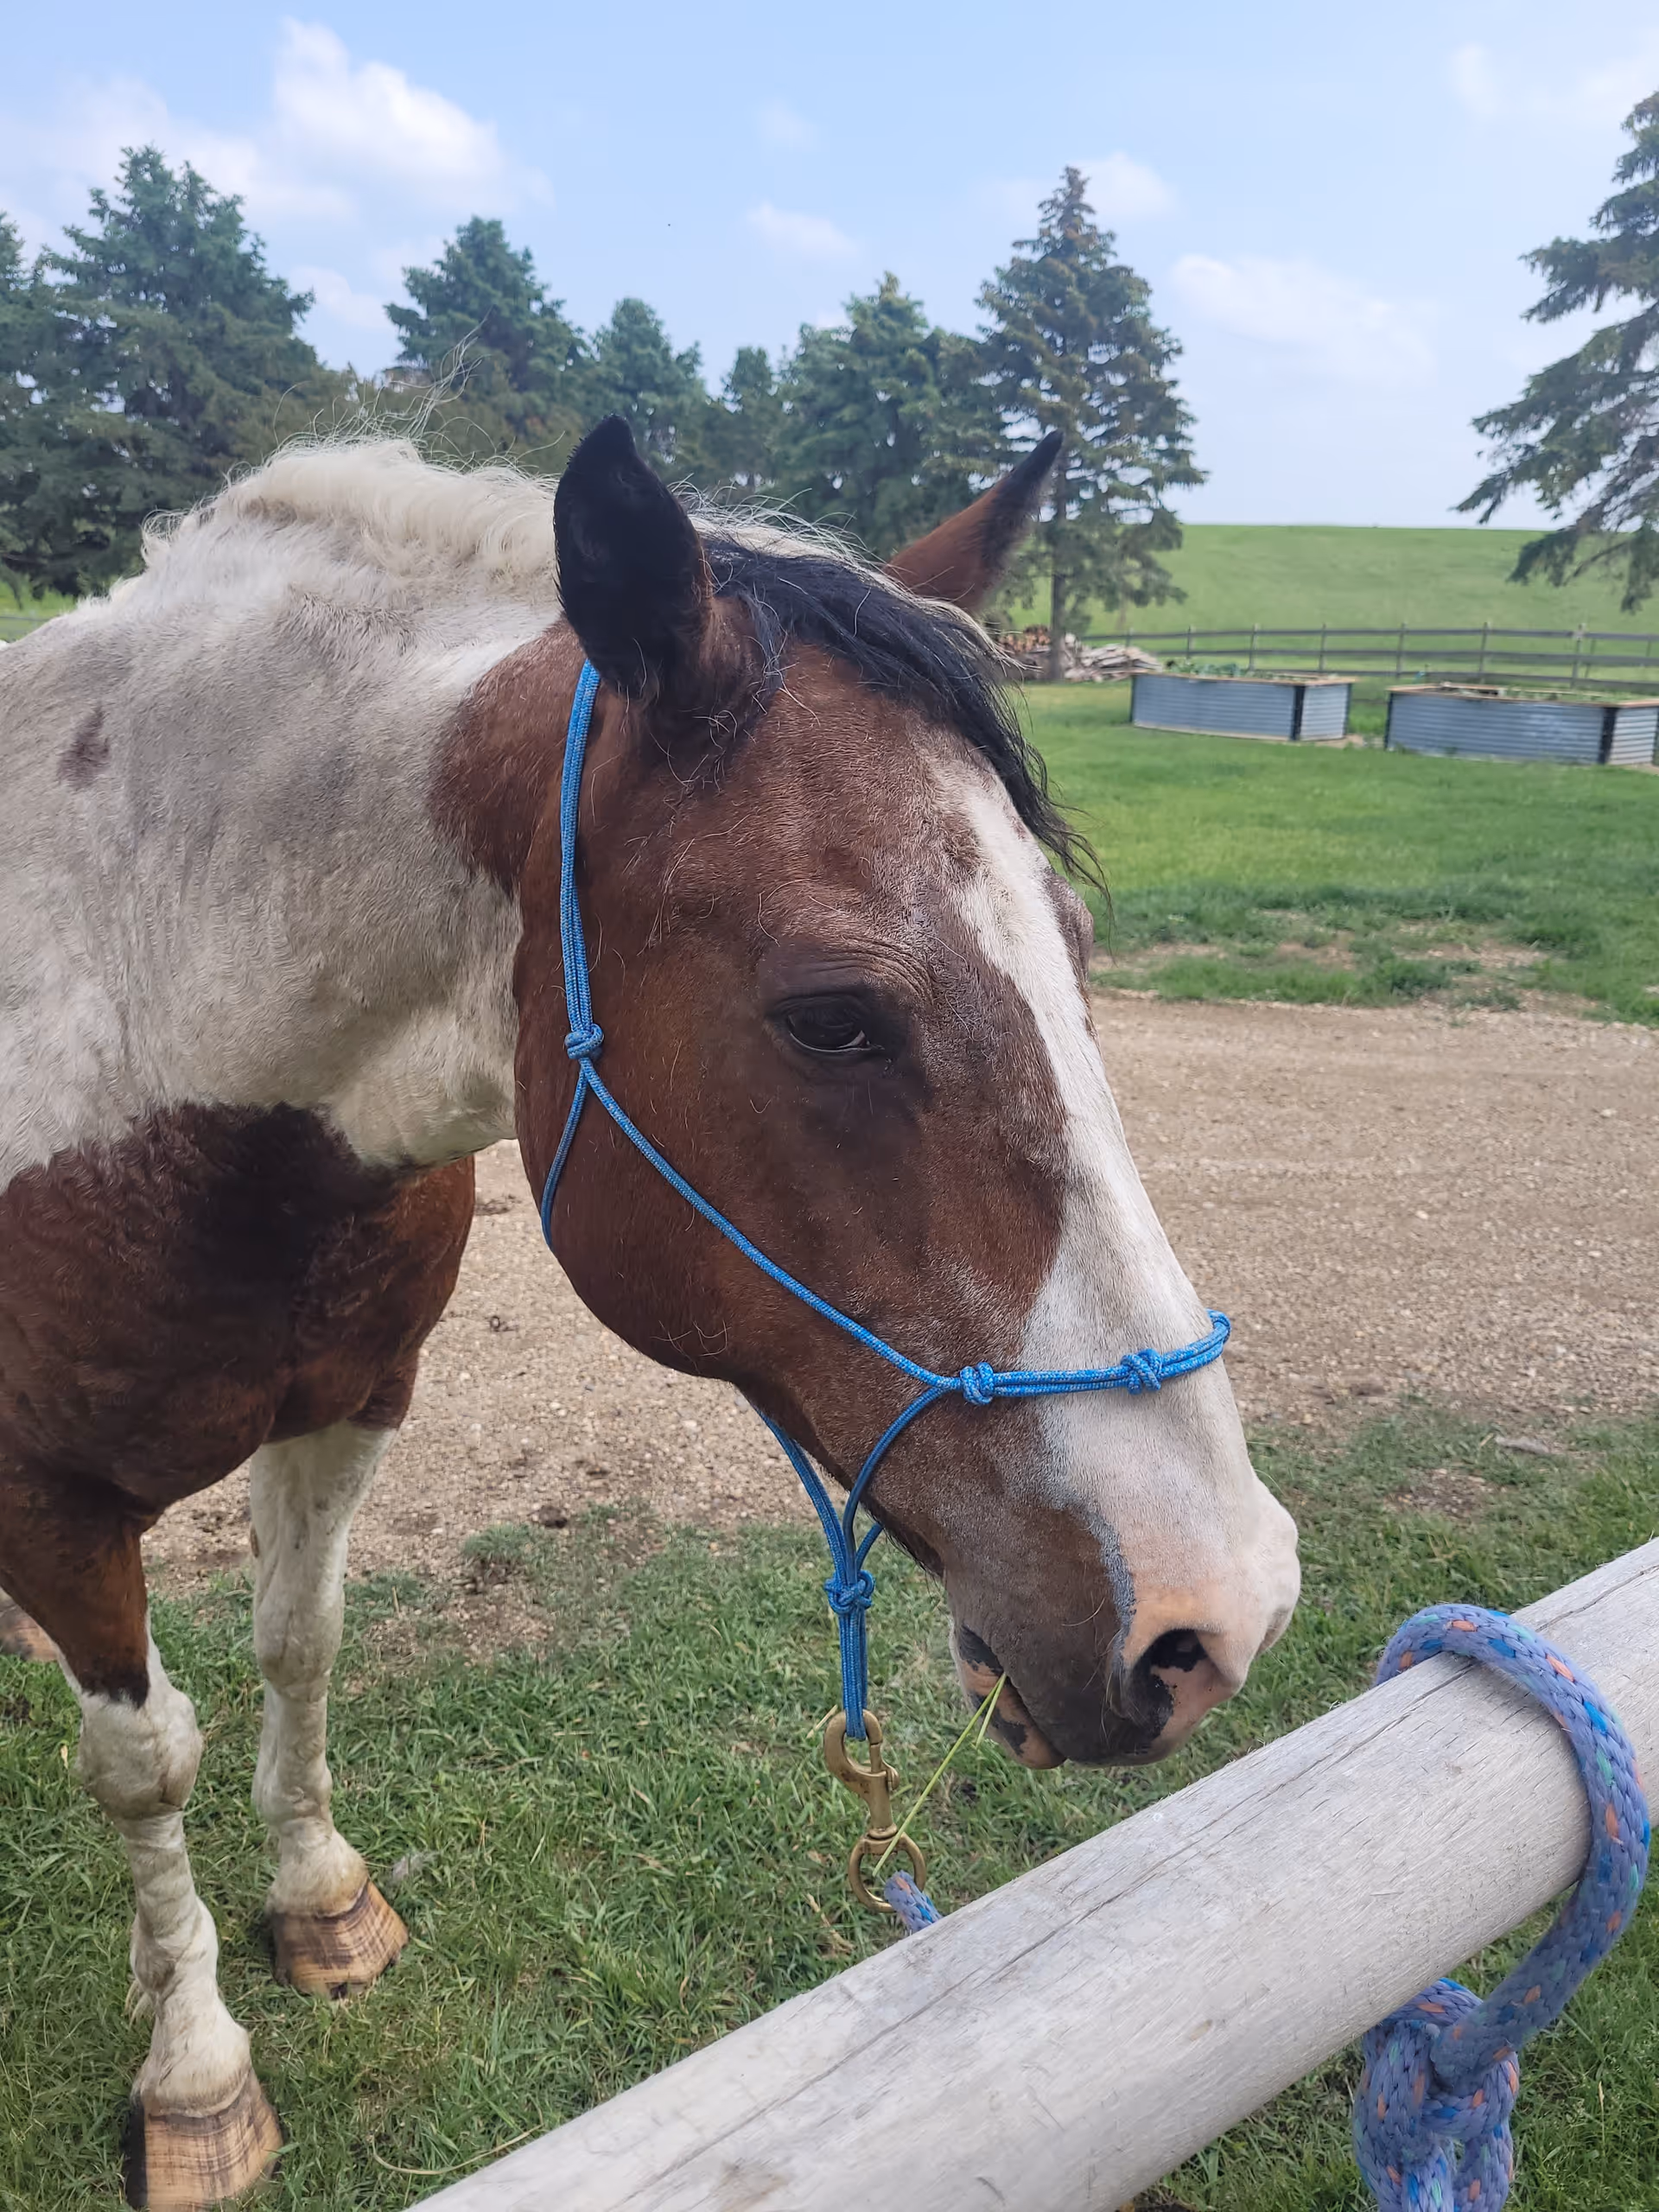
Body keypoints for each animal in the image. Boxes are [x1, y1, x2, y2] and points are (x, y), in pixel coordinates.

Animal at [0, 415, 1300, 2209]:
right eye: (832, 1018)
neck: (141, 1049)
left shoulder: (350, 1402)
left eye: (1081, 943)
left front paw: (317, 1902)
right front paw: (195, 2067)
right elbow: (146, 1763)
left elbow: (297, 1646)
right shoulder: (49, 1505)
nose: (1218, 1611)